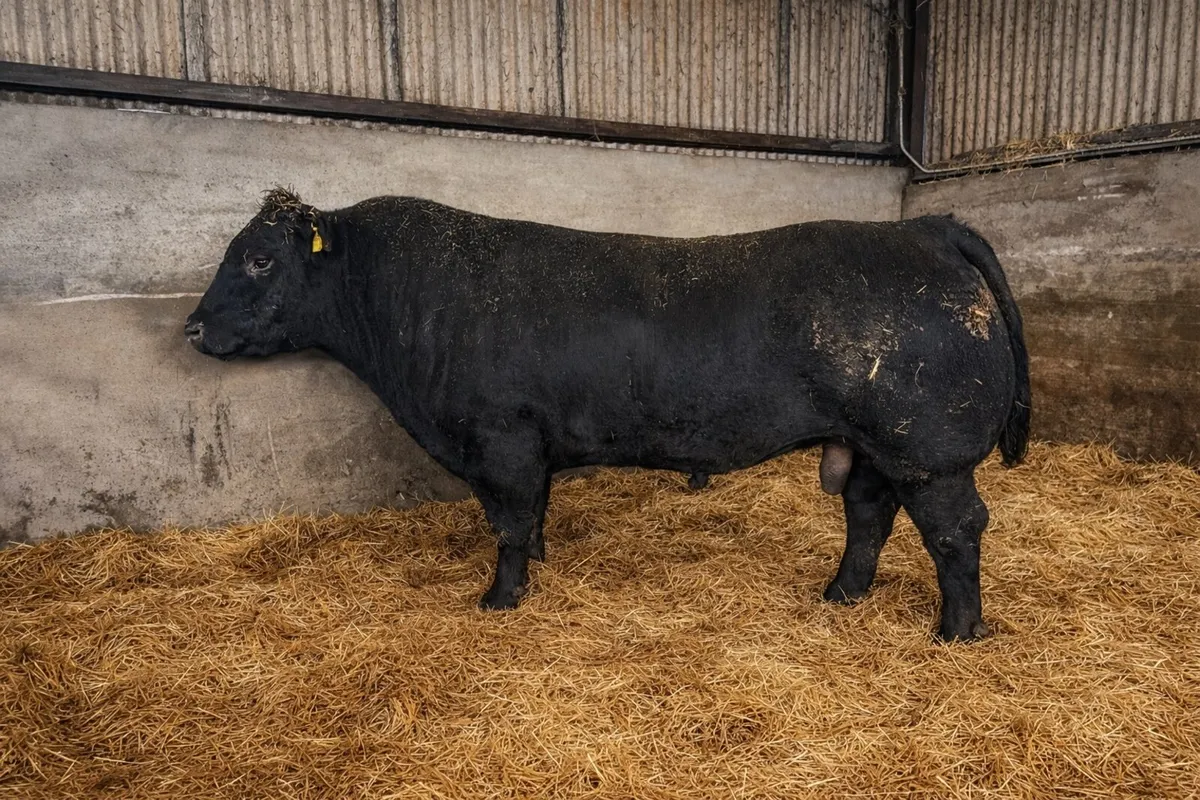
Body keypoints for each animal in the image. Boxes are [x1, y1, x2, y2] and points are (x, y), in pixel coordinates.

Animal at [185, 188, 1029, 642]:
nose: (191, 327)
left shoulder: (501, 439)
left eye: (259, 258)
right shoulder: (528, 446)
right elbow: (536, 514)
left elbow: (510, 523)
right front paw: (539, 566)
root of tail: (922, 228)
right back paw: (841, 594)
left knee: (956, 530)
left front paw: (501, 598)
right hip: (874, 445)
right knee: (868, 515)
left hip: (930, 449)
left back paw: (956, 631)